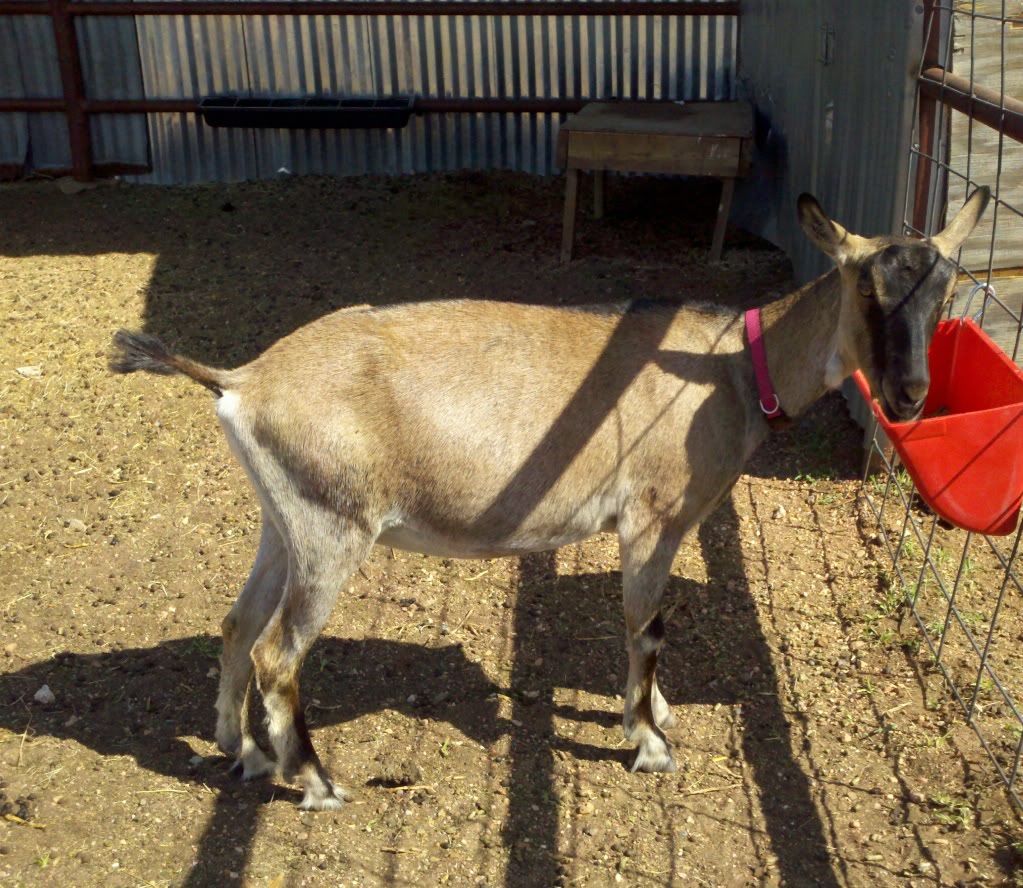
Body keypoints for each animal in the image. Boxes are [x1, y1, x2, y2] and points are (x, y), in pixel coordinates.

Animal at [110, 188, 989, 810]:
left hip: (282, 520)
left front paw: (655, 713)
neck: (733, 367)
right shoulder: (650, 517)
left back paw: (244, 751)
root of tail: (242, 379)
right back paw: (318, 784)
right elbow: (646, 626)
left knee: (236, 625)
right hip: (333, 530)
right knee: (276, 654)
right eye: (864, 288)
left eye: (945, 288)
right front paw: (647, 742)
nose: (909, 396)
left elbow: (645, 625)